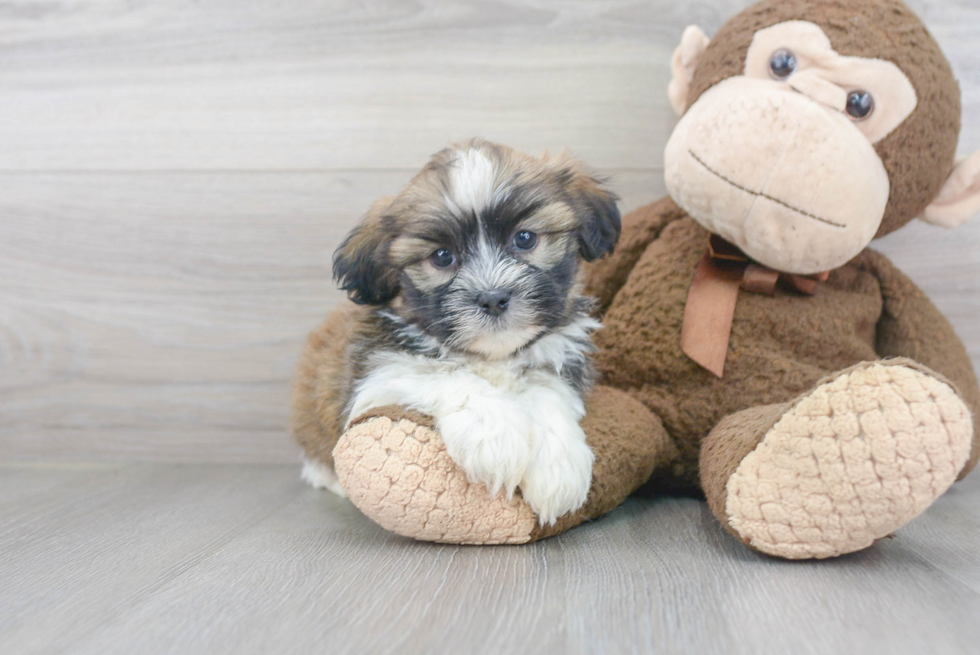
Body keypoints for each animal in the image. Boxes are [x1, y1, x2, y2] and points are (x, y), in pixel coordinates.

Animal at [290, 140, 620, 528]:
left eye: (525, 238)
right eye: (442, 257)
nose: (493, 297)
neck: (492, 355)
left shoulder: (557, 356)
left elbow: (546, 390)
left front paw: (557, 465)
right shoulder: (378, 371)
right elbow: (447, 375)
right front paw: (495, 436)